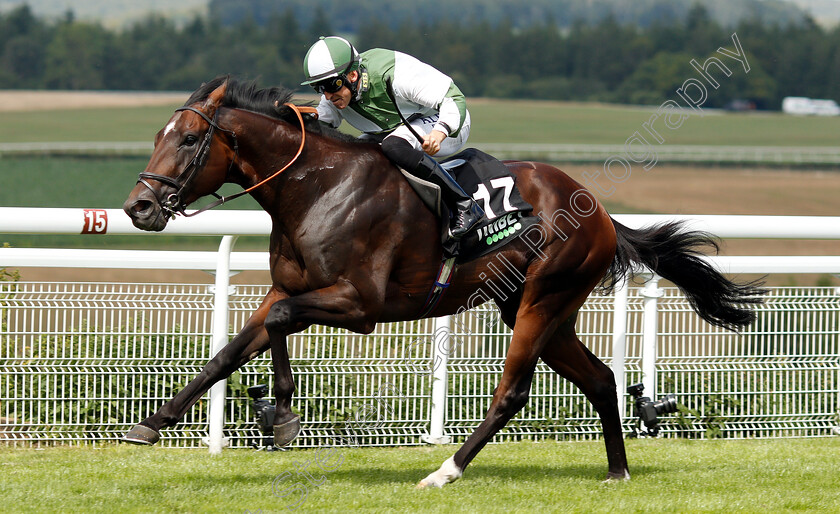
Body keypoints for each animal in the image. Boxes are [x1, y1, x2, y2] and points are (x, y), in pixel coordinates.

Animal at [123, 77, 760, 488]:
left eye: (186, 140)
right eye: (156, 135)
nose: (138, 207)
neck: (316, 186)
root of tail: (600, 210)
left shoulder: (359, 306)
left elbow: (277, 325)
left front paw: (279, 413)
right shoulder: (289, 290)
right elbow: (231, 350)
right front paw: (154, 424)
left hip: (543, 297)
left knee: (512, 392)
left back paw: (445, 471)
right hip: (539, 308)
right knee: (601, 379)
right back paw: (617, 470)